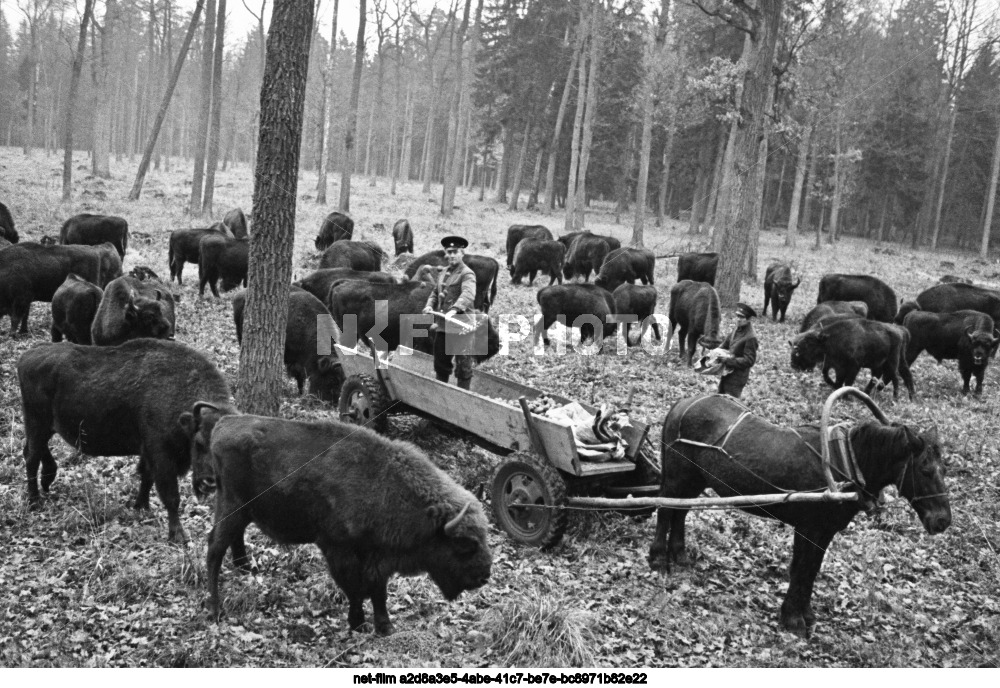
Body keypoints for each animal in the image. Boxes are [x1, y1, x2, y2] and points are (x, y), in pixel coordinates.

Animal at [18, 338, 238, 544]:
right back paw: (34, 501)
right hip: (37, 423)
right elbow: (171, 496)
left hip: (44, 427)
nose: (210, 482)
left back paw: (47, 481)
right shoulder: (161, 455)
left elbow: (146, 477)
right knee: (31, 457)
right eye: (199, 442)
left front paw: (141, 506)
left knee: (33, 450)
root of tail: (26, 357)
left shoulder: (148, 452)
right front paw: (178, 535)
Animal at [183, 412, 492, 636]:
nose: (484, 577)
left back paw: (244, 568)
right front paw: (358, 624)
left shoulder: (376, 557)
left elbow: (377, 590)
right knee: (214, 548)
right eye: (465, 545)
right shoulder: (338, 549)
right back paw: (215, 610)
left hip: (242, 511)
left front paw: (384, 627)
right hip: (231, 506)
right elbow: (355, 588)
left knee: (232, 540)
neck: (385, 485)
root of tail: (222, 425)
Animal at [648, 390, 952, 636]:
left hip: (694, 480)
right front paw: (793, 620)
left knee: (679, 512)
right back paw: (658, 559)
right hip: (677, 477)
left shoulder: (823, 531)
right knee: (664, 511)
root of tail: (682, 404)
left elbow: (810, 570)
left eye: (944, 468)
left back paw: (680, 555)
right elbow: (803, 569)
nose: (942, 521)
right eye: (925, 469)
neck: (846, 462)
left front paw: (804, 614)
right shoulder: (809, 529)